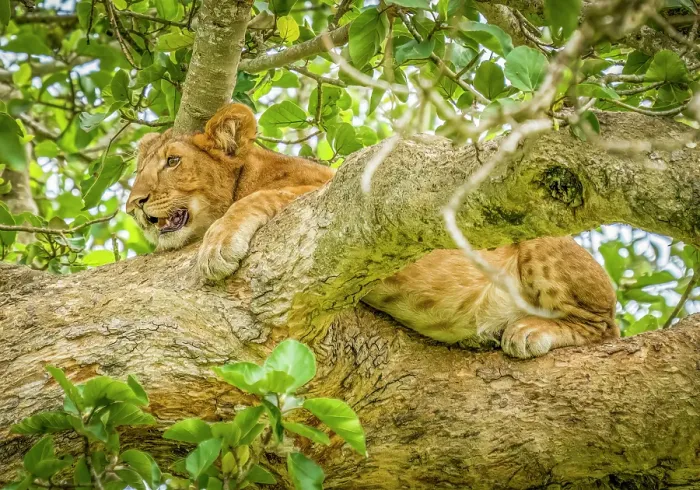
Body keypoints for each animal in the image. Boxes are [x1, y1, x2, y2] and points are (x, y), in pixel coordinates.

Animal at [127, 103, 618, 358]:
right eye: (138, 170)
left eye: (172, 162)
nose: (134, 204)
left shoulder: (326, 191)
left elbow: (256, 200)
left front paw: (218, 245)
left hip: (542, 247)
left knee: (604, 326)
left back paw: (530, 331)